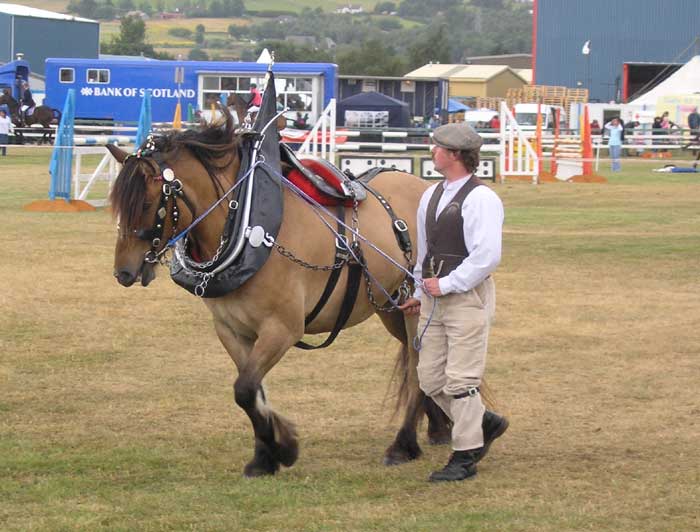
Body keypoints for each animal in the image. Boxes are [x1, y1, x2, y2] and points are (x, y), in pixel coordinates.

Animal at [106, 108, 452, 478]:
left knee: (418, 369)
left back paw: (403, 444)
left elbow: (244, 390)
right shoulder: (233, 330)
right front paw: (267, 452)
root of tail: (426, 187)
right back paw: (438, 427)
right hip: (392, 308)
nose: (123, 272)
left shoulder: (282, 329)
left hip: (416, 308)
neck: (247, 226)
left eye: (146, 203)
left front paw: (281, 447)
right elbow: (253, 391)